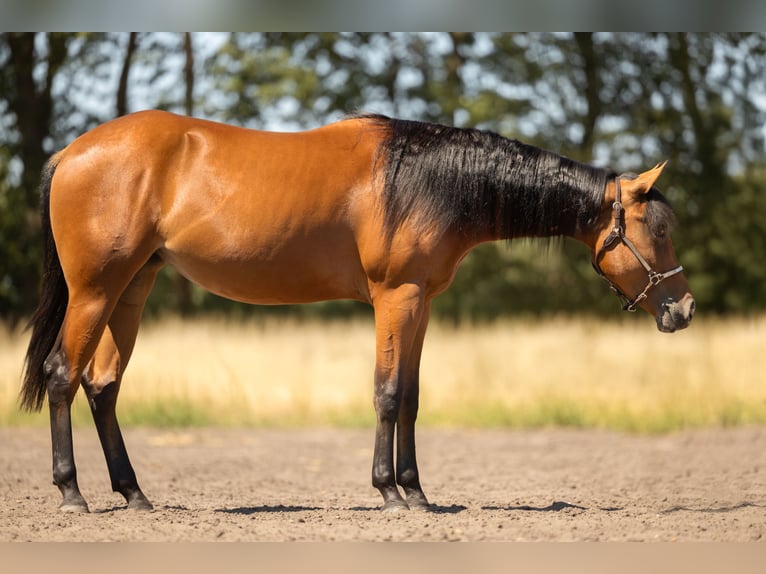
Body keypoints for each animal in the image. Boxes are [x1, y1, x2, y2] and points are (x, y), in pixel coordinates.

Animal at [21, 111, 695, 513]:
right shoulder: (395, 297)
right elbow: (388, 392)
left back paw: (133, 493)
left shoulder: (421, 302)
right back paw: (72, 493)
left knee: (102, 385)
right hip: (94, 292)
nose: (684, 309)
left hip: (132, 289)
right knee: (62, 375)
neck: (428, 180)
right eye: (657, 230)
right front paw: (389, 492)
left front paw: (418, 492)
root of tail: (71, 152)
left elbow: (413, 398)